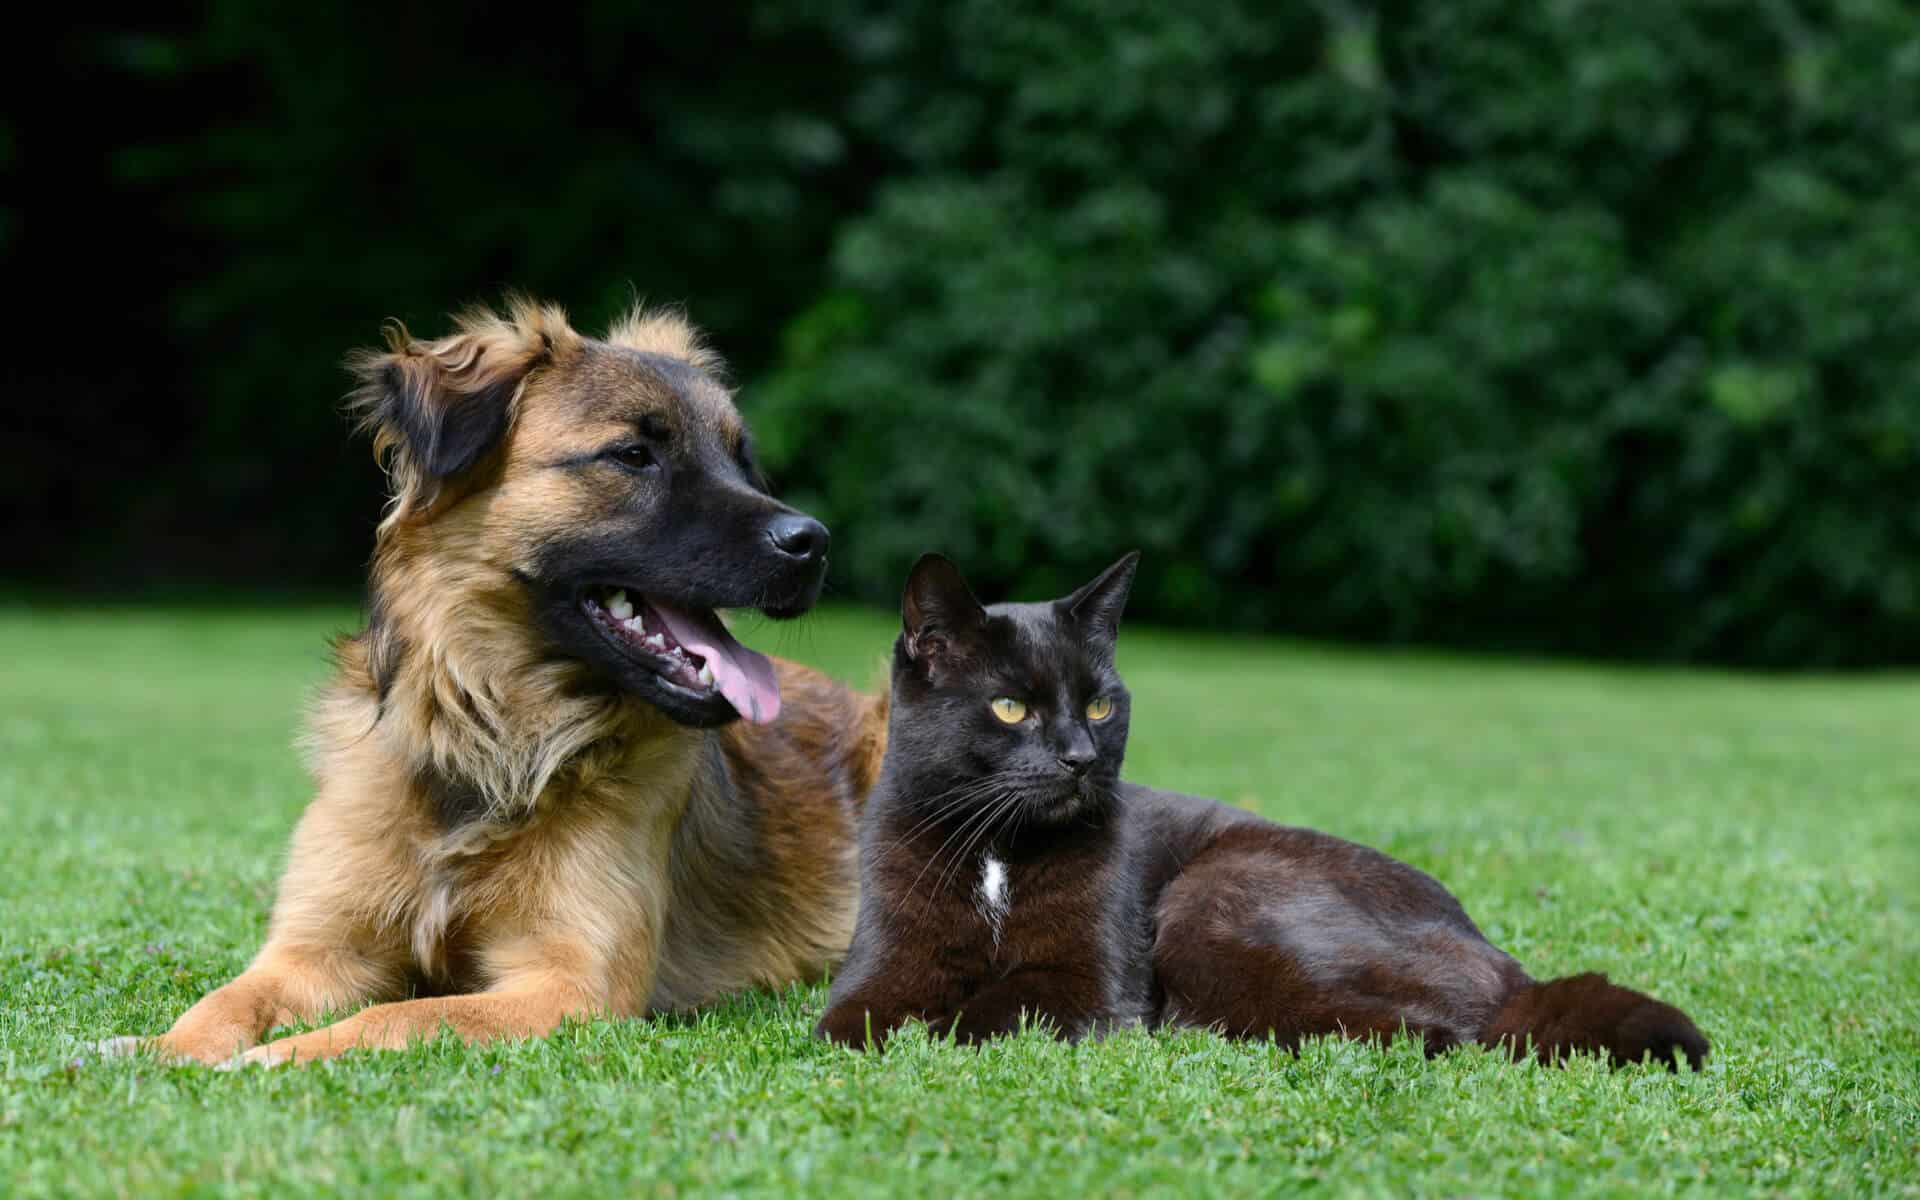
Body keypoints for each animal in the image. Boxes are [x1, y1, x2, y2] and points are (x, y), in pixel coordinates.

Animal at [101, 295, 887, 1059]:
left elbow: (396, 1019)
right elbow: (227, 999)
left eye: (739, 460)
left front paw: (278, 1058)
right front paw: (163, 1048)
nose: (813, 543)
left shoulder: (569, 987)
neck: (493, 736)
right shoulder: (315, 950)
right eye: (634, 455)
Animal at [814, 552, 1712, 1067]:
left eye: (1100, 705)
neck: (998, 852)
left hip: (1216, 897)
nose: (1079, 757)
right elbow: (849, 1022)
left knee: (1437, 1031)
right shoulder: (882, 963)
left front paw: (937, 1028)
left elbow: (984, 1011)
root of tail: (1500, 957)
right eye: (1010, 709)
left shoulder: (1090, 982)